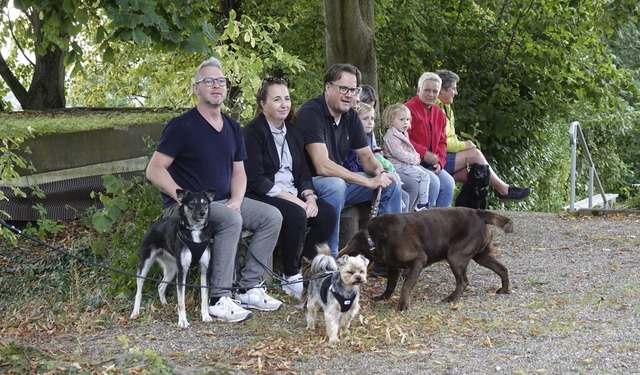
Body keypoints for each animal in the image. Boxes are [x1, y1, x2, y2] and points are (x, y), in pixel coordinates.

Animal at [131, 189, 216, 328]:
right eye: (192, 203)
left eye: (205, 203)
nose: (203, 213)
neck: (195, 231)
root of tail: (155, 224)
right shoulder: (182, 271)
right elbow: (181, 300)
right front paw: (182, 321)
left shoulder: (204, 270)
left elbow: (204, 297)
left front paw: (206, 316)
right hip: (145, 265)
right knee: (139, 290)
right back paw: (135, 312)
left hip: (172, 269)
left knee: (160, 287)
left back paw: (165, 305)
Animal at [338, 207, 512, 310]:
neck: (373, 240)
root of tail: (478, 212)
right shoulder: (394, 267)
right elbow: (390, 285)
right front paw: (383, 298)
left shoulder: (418, 261)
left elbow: (406, 287)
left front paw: (403, 306)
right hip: (481, 256)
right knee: (502, 268)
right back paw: (504, 289)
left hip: (455, 255)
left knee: (463, 281)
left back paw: (451, 298)